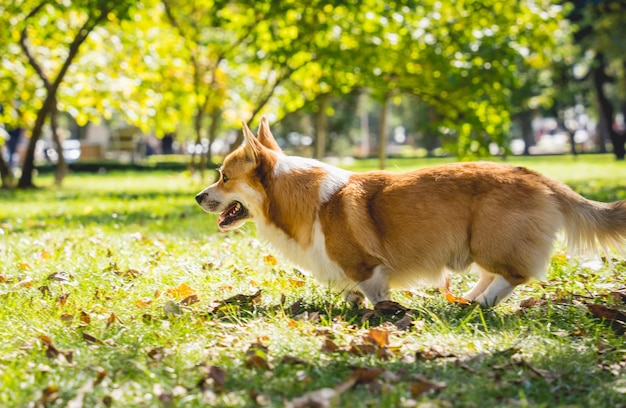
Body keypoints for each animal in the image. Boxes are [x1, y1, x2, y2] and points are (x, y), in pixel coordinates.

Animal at [195, 117, 624, 306]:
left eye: (223, 177)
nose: (199, 197)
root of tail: (538, 175)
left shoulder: (368, 269)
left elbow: (375, 297)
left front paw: (381, 316)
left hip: (492, 240)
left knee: (513, 274)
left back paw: (481, 304)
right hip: (483, 243)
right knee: (493, 273)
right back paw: (467, 299)